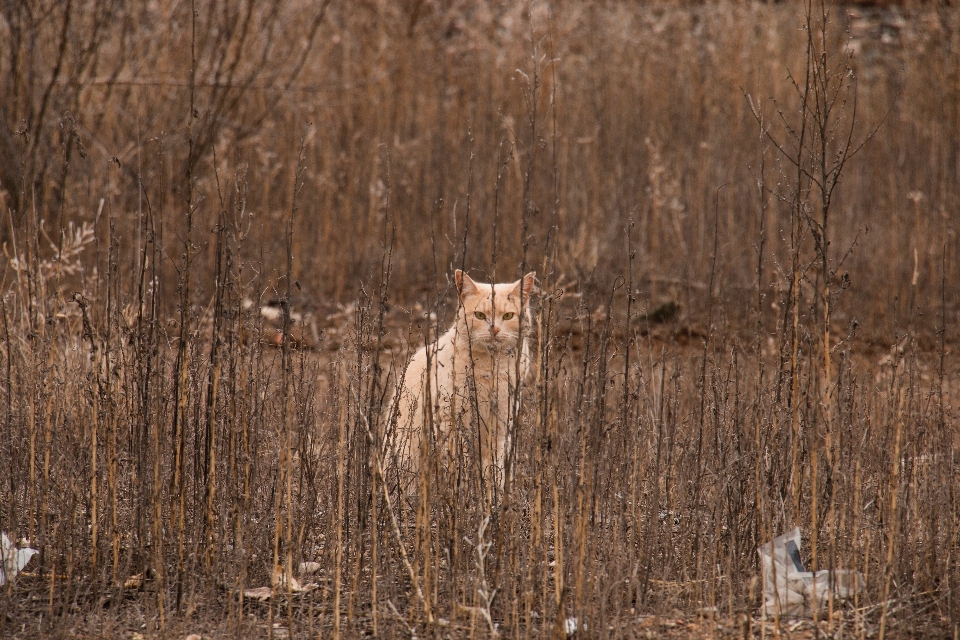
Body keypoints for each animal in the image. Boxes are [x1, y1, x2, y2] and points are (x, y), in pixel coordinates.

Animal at [390, 268, 540, 498]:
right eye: (480, 315)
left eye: (508, 316)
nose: (494, 330)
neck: (491, 368)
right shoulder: (452, 424)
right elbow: (460, 468)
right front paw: (464, 497)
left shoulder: (500, 426)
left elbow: (493, 470)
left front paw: (491, 498)